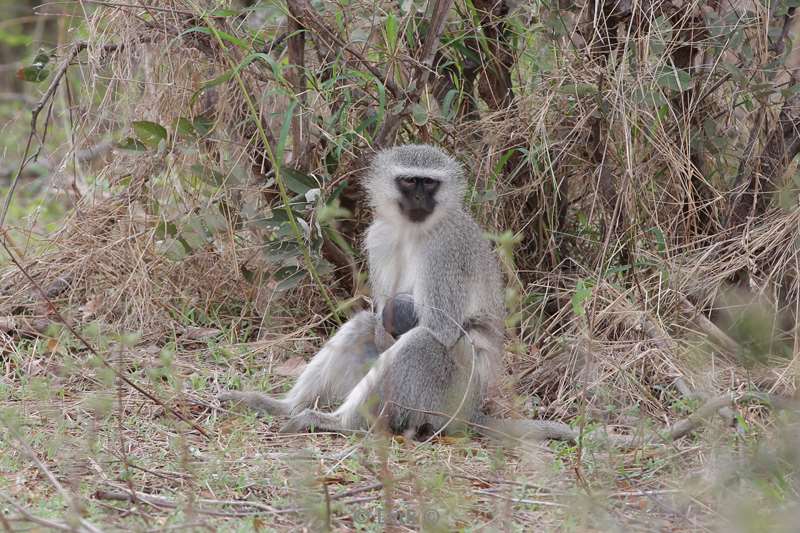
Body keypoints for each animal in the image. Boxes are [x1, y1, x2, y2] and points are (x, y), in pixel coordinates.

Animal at [219, 142, 580, 440]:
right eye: (408, 181)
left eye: (429, 183)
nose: (419, 198)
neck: (414, 229)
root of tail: (472, 413)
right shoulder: (378, 235)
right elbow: (379, 318)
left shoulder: (445, 250)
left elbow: (441, 328)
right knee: (362, 325)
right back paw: (280, 406)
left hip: (445, 400)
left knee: (422, 342)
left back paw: (338, 422)